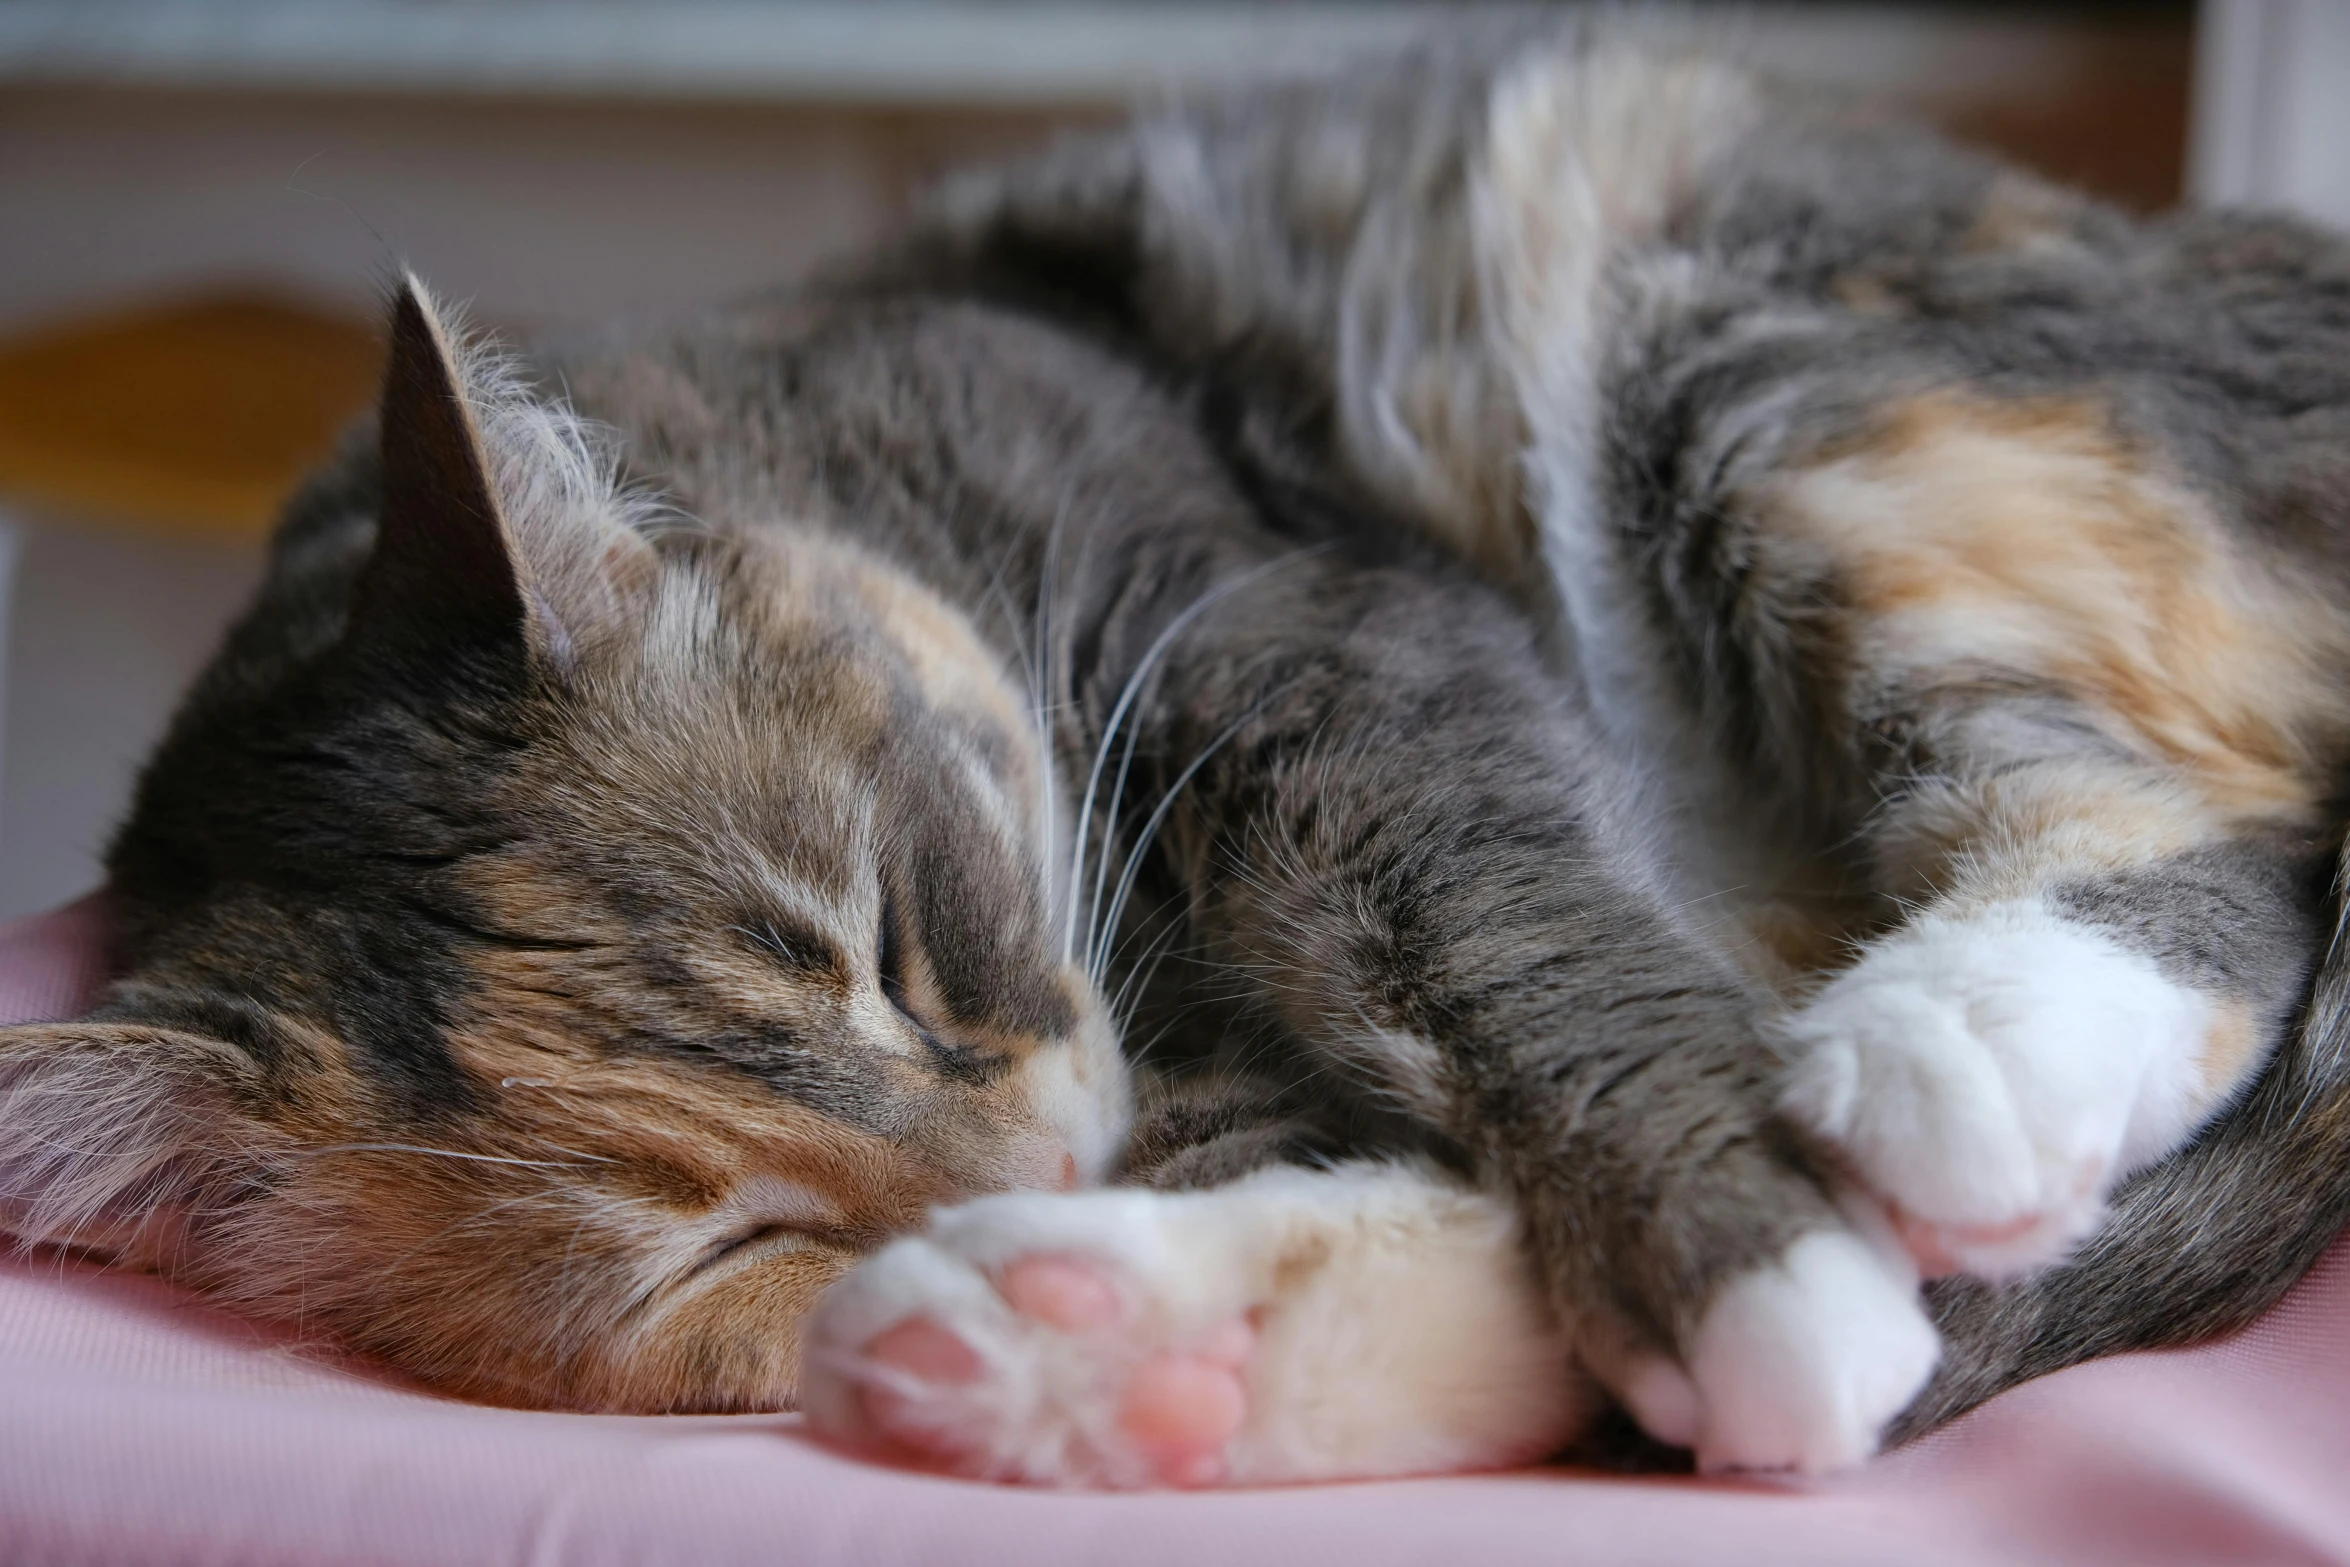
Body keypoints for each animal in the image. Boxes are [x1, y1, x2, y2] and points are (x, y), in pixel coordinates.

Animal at [4, 24, 2350, 1494]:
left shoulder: (1285, 617)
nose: (1046, 1169)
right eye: (724, 1252)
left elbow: (1500, 932)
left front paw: (1749, 1270)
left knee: (2224, 851)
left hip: (1749, 347)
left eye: (885, 938)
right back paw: (1086, 1344)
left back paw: (1963, 1045)